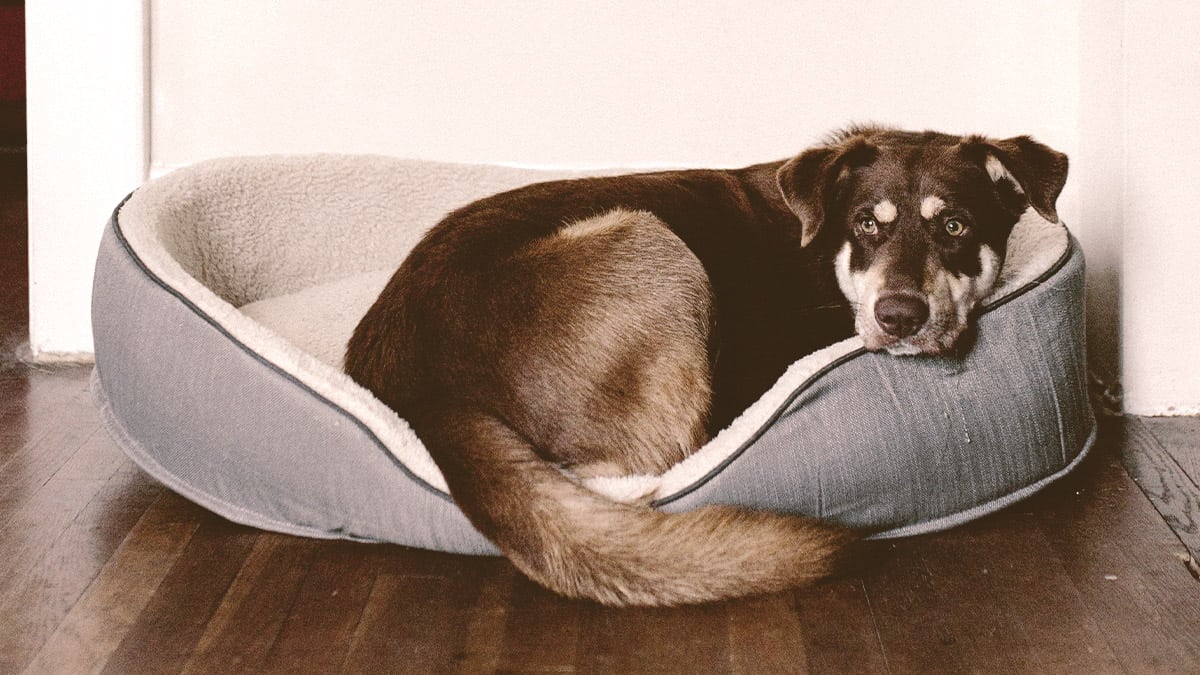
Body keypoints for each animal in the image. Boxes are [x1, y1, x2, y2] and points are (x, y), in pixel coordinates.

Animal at [348, 126, 1070, 605]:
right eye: (868, 224)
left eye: (954, 225)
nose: (899, 316)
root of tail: (422, 393)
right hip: (649, 239)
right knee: (661, 461)